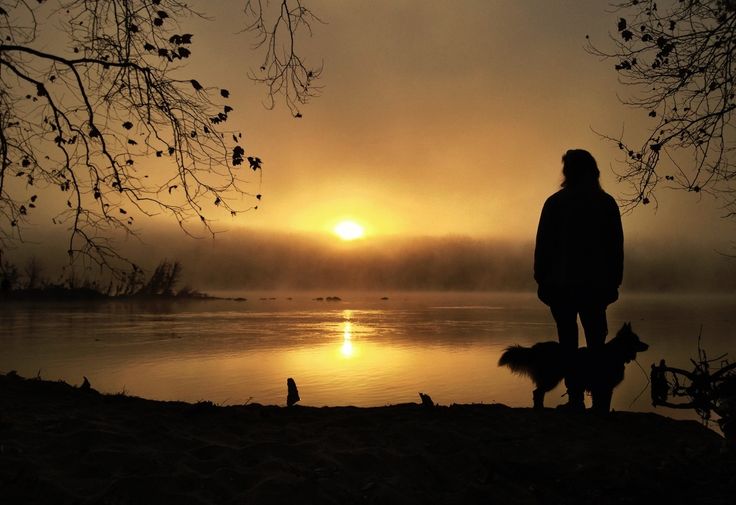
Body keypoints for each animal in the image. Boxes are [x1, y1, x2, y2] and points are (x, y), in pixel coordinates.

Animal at [498, 322, 648, 410]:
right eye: (636, 340)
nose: (648, 345)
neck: (615, 353)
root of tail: (537, 348)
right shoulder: (605, 385)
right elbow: (603, 401)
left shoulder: (600, 385)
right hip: (551, 378)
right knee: (537, 392)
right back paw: (540, 408)